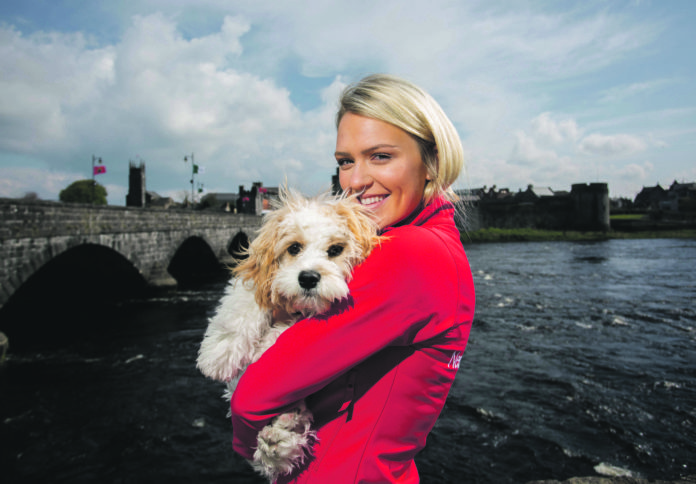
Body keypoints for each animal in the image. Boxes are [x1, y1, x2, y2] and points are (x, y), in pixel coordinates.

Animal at [196, 187, 380, 482]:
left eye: (336, 250)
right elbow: (246, 299)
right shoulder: (258, 280)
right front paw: (219, 354)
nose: (308, 278)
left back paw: (280, 437)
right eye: (294, 247)